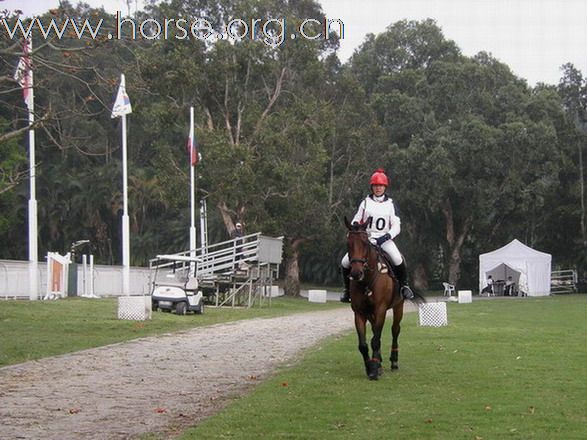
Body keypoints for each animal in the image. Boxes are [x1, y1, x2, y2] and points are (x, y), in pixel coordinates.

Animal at [344, 216, 422, 378]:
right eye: (348, 243)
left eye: (365, 243)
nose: (356, 273)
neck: (367, 280)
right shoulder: (359, 312)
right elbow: (364, 344)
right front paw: (371, 366)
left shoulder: (380, 309)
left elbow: (376, 340)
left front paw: (374, 370)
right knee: (375, 331)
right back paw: (379, 360)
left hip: (398, 306)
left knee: (395, 329)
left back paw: (394, 361)